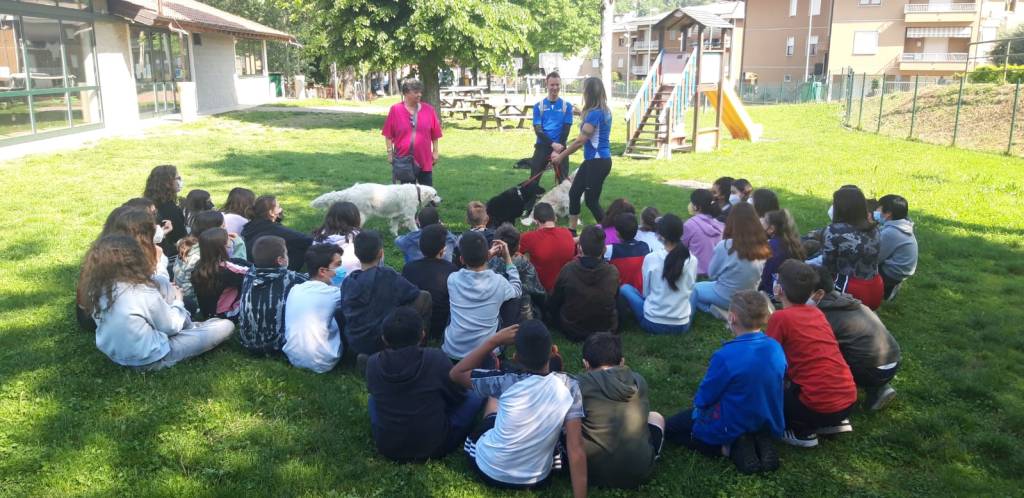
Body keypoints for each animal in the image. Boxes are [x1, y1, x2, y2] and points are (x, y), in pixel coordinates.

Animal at [309, 182, 442, 235]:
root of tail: (350, 190)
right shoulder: (409, 216)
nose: (441, 200)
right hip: (361, 215)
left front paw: (395, 236)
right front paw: (417, 233)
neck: (417, 192)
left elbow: (394, 227)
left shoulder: (396, 216)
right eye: (435, 195)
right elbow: (414, 227)